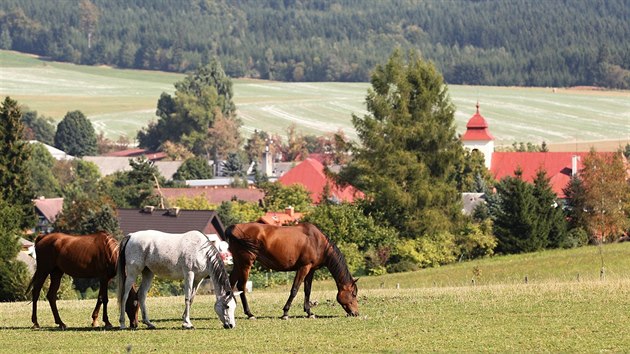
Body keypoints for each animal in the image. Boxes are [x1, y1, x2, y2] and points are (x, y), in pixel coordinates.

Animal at [226, 223, 360, 320]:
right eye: (354, 294)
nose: (356, 313)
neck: (317, 242)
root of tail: (233, 228)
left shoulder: (310, 270)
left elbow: (307, 291)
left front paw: (309, 312)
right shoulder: (303, 268)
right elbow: (294, 290)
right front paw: (285, 313)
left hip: (238, 264)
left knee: (230, 283)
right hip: (245, 264)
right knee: (241, 286)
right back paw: (250, 314)